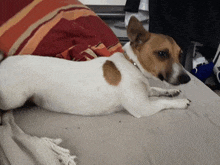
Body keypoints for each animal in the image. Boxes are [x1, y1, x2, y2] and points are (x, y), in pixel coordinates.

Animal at [0, 16, 190, 118]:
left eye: (180, 54)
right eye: (162, 53)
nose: (187, 78)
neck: (132, 64)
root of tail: (3, 62)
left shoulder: (146, 92)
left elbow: (157, 90)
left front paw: (171, 92)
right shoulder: (143, 107)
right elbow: (163, 101)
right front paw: (181, 102)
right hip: (16, 97)